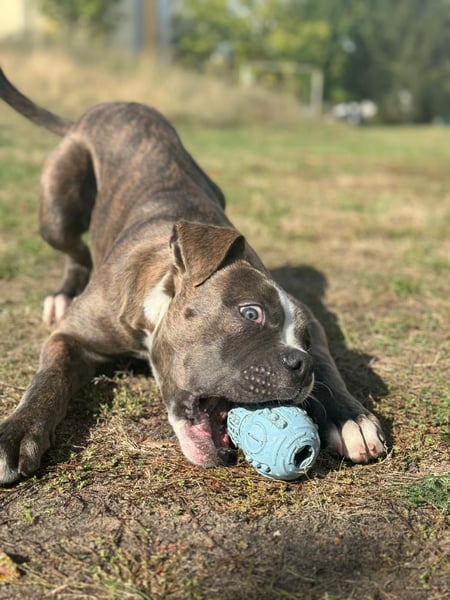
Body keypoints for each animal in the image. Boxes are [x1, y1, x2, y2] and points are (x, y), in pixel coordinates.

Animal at [0, 70, 386, 484]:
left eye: (307, 341)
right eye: (250, 313)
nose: (302, 364)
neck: (156, 300)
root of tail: (104, 109)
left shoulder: (311, 317)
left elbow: (331, 367)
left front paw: (351, 418)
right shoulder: (69, 338)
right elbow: (49, 380)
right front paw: (19, 429)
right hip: (57, 205)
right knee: (75, 250)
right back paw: (62, 295)